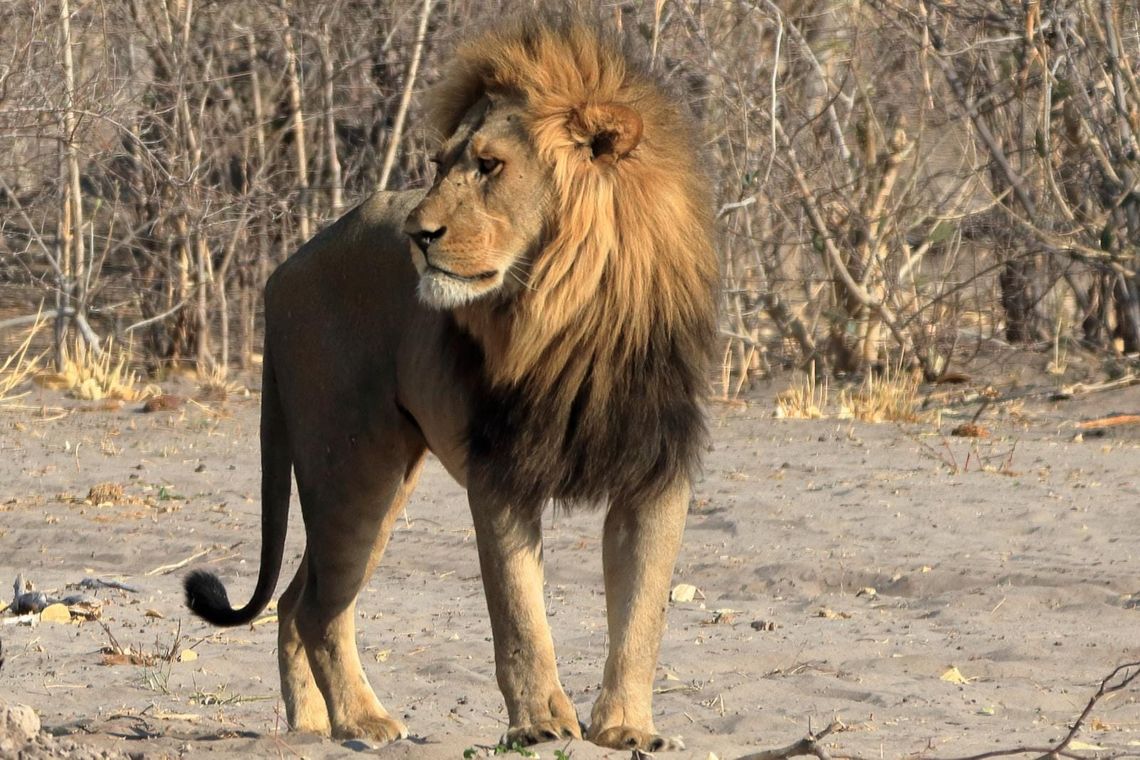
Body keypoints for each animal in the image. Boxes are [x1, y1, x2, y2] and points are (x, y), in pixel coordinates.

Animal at [183, 10, 717, 752]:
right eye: (439, 167)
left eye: (490, 166)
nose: (418, 233)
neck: (574, 316)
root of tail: (287, 268)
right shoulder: (500, 470)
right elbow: (519, 615)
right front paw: (540, 724)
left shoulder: (656, 472)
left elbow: (642, 616)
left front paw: (627, 727)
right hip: (354, 467)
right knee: (318, 605)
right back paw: (363, 720)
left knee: (293, 600)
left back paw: (313, 726)